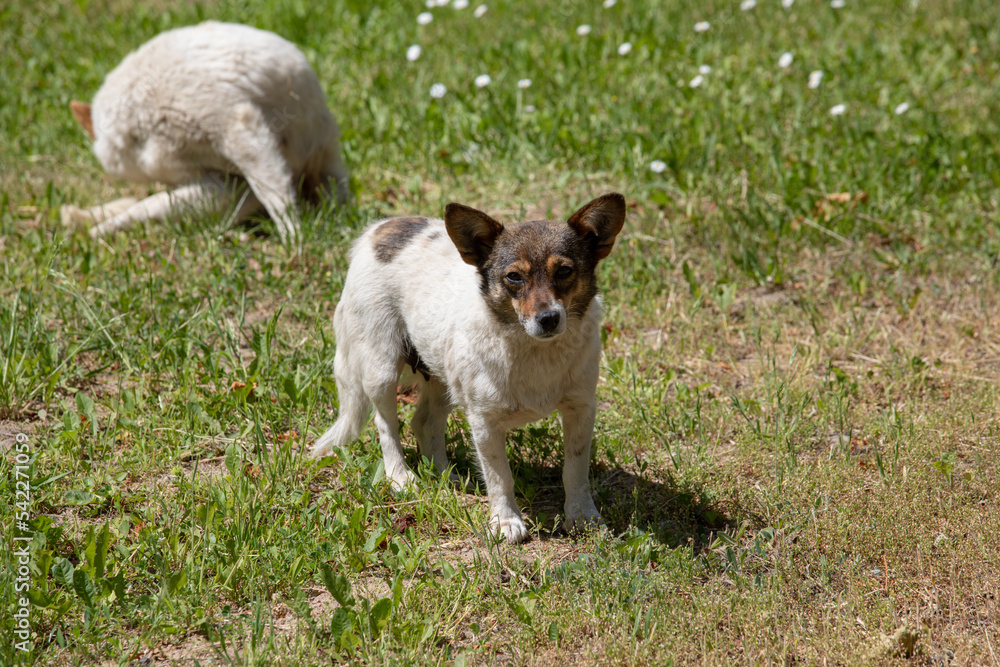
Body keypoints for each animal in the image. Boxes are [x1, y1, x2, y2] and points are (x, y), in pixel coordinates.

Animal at [312, 192, 624, 544]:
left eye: (565, 271)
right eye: (514, 277)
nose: (549, 319)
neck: (533, 351)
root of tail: (380, 228)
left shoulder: (580, 410)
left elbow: (575, 470)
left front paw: (582, 517)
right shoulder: (484, 422)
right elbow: (500, 477)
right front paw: (506, 522)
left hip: (442, 378)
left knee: (425, 423)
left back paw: (445, 476)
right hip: (382, 370)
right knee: (385, 425)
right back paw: (400, 477)